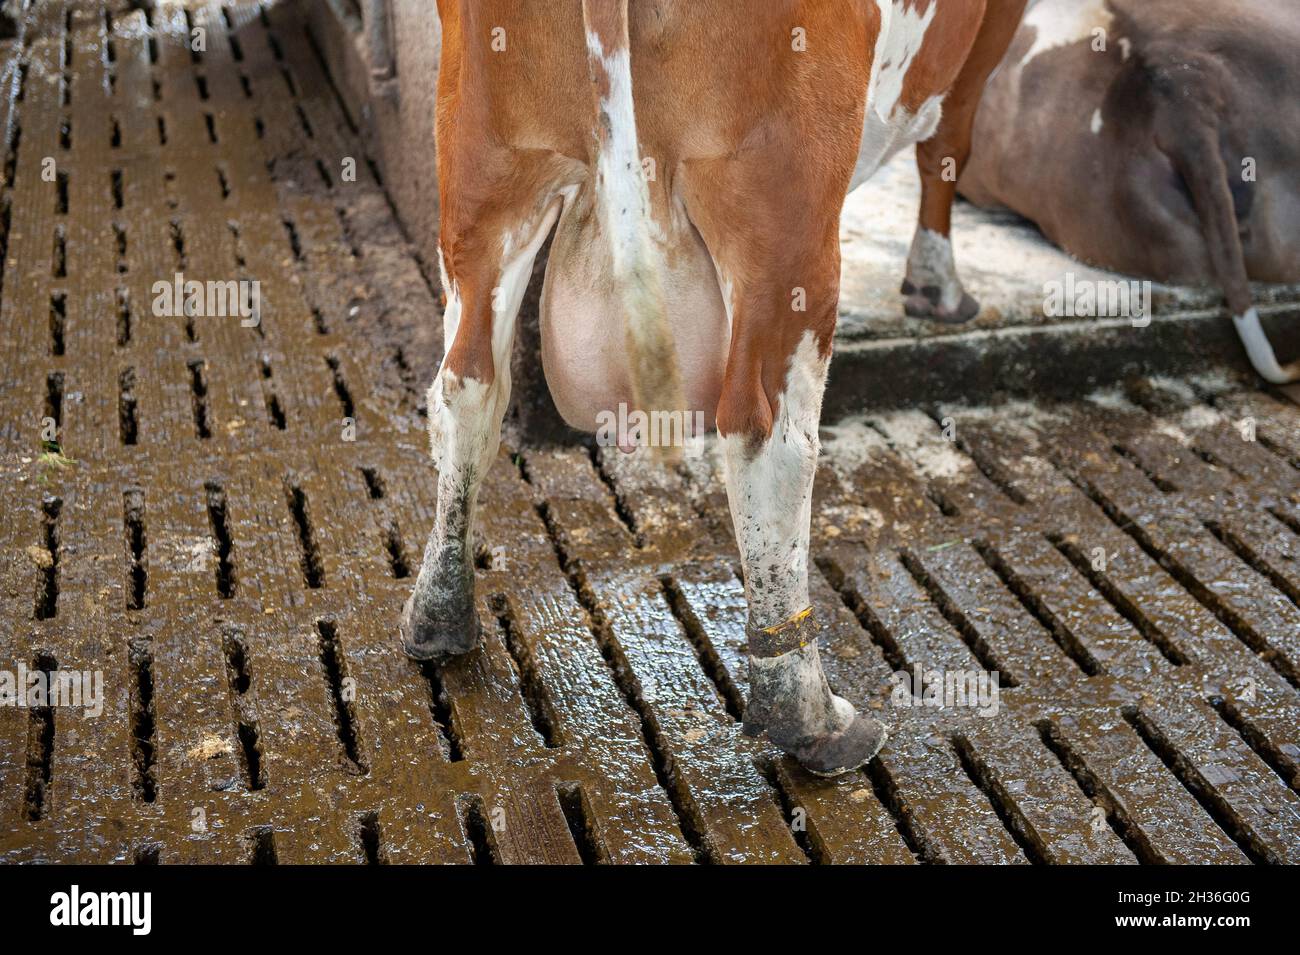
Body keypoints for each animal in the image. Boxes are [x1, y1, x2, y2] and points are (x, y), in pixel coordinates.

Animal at [403, 1, 1024, 779]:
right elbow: (951, 142)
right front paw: (937, 286)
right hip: (786, 200)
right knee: (767, 438)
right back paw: (810, 716)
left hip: (481, 166)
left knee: (466, 389)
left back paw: (438, 616)